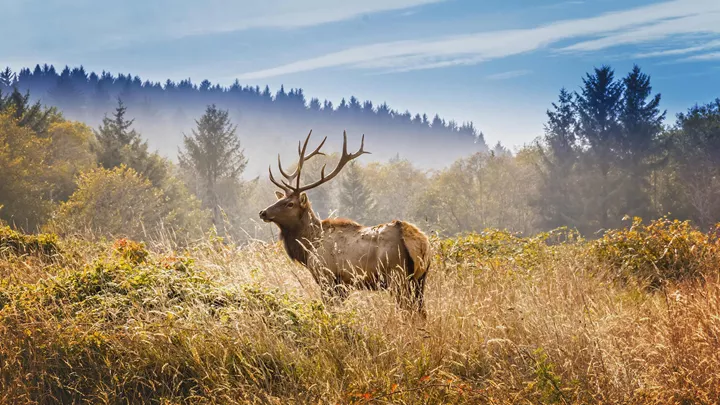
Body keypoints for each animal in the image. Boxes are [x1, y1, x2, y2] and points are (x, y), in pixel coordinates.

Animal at [259, 130, 431, 319]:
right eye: (280, 199)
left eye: (290, 204)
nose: (263, 212)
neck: (309, 246)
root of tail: (420, 242)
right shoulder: (344, 285)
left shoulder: (326, 276)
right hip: (420, 280)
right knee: (422, 312)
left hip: (397, 275)